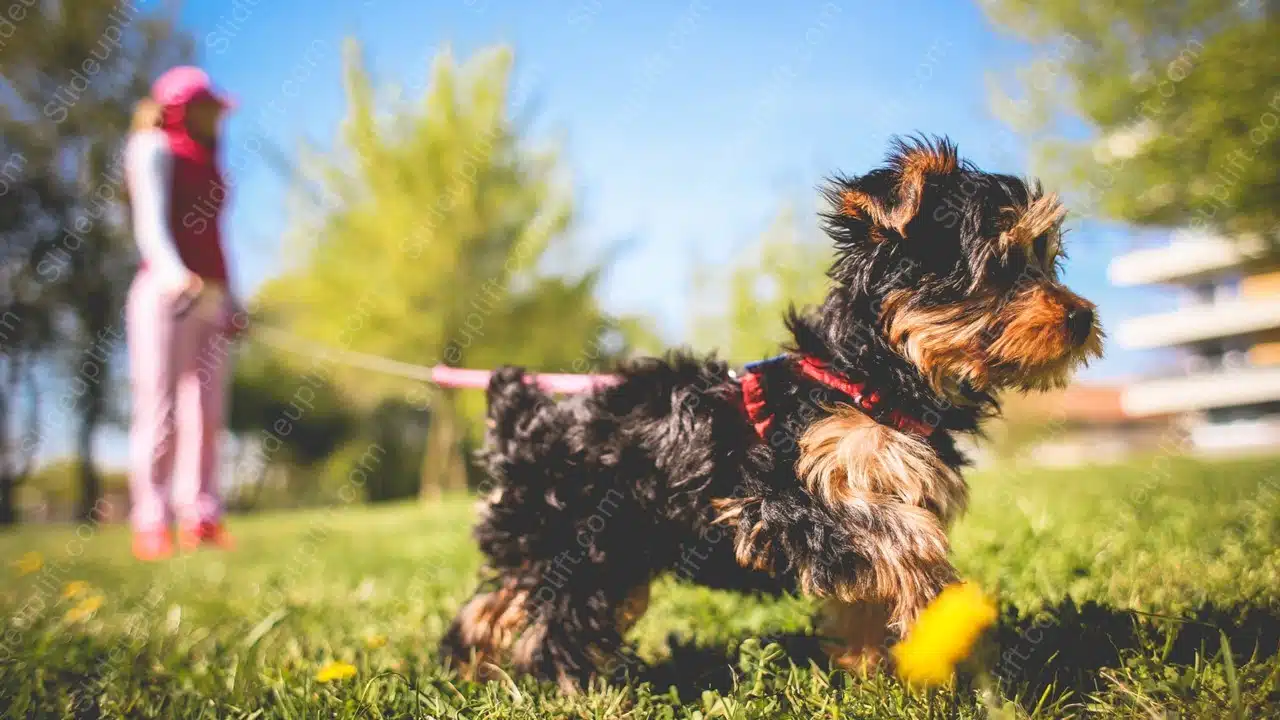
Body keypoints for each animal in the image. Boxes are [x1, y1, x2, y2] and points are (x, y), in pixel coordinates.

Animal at [437, 135, 1100, 691]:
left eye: (1047, 260)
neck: (870, 379)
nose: (1082, 316)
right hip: (587, 542)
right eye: (1001, 267)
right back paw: (575, 689)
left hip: (551, 539)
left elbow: (866, 585)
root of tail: (523, 425)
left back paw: (469, 669)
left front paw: (869, 668)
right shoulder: (780, 496)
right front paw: (936, 610)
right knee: (560, 618)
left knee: (499, 601)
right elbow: (901, 537)